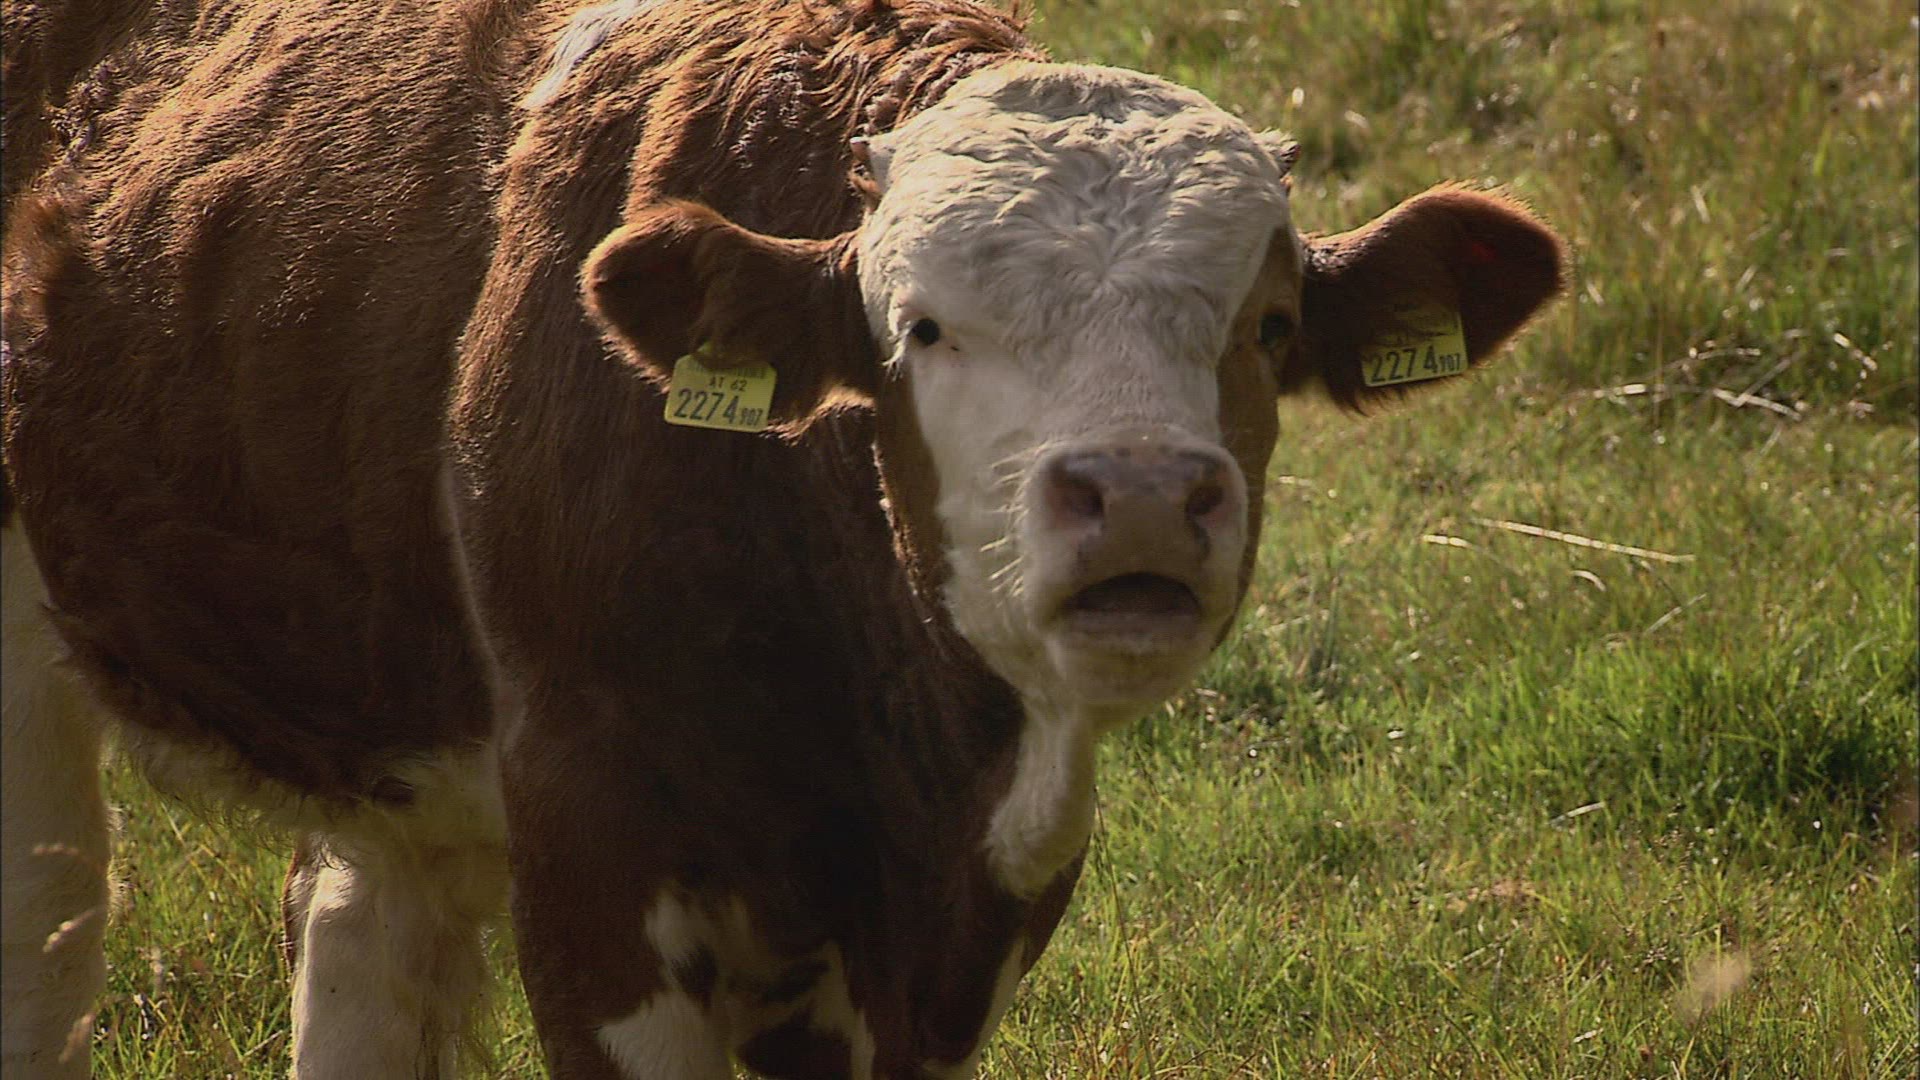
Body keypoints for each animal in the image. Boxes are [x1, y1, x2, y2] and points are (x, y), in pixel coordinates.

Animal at [0, 0, 1566, 1076]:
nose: (1135, 492)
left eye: (1273, 325)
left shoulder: (951, 942)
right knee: (49, 932)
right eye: (918, 327)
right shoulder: (592, 859)